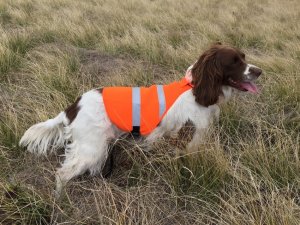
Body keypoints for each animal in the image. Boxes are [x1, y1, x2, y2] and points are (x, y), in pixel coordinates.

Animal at [19, 42, 262, 197]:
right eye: (234, 61)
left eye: (244, 57)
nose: (259, 71)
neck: (196, 90)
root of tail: (73, 106)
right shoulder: (187, 138)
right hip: (92, 148)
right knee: (62, 174)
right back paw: (60, 200)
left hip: (99, 146)